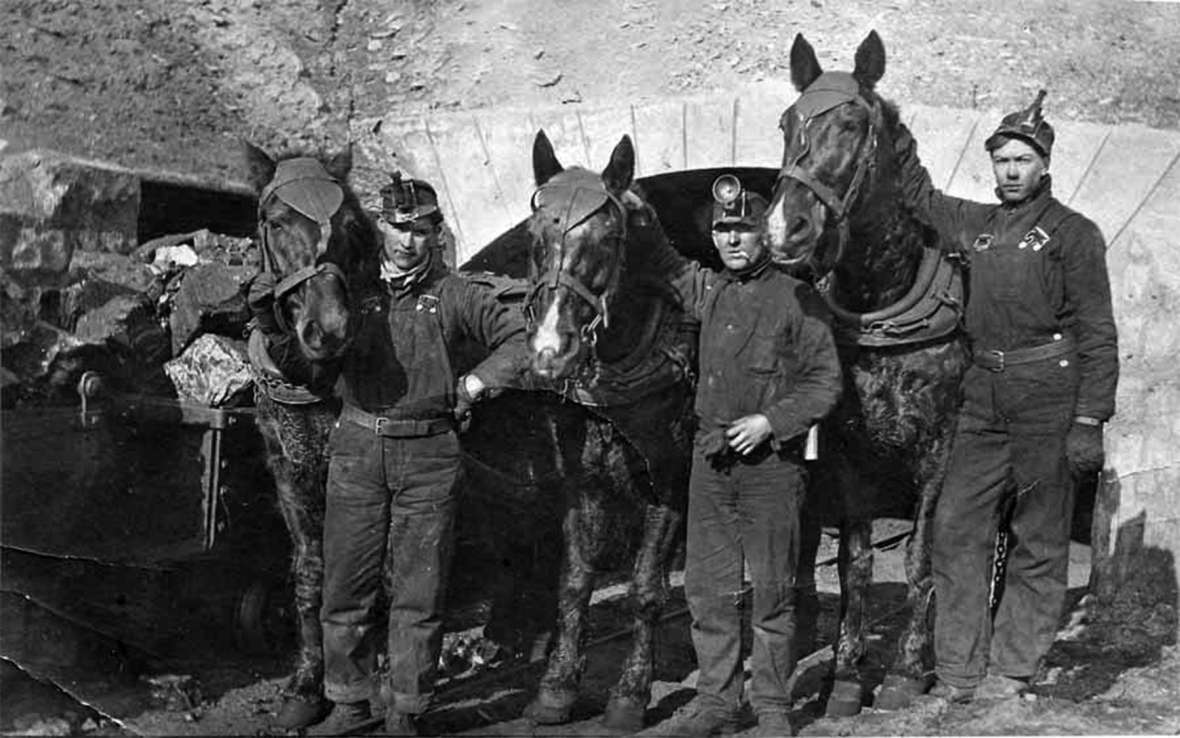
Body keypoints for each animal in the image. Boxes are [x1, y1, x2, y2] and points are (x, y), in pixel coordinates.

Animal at [519, 129, 698, 727]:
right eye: (534, 238)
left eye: (607, 239)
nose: (550, 353)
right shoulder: (582, 482)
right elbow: (575, 580)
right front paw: (557, 686)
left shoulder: (671, 481)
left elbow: (644, 588)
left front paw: (631, 693)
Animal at [759, 31, 972, 717]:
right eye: (786, 122)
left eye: (852, 124)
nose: (784, 229)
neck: (886, 310)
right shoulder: (849, 456)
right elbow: (854, 564)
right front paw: (847, 673)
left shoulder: (939, 451)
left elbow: (919, 559)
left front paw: (910, 669)